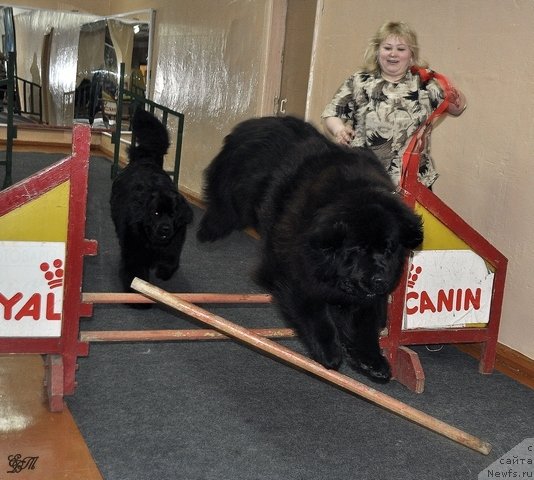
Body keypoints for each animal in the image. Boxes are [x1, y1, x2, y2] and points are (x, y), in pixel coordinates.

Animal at [199, 115, 426, 382]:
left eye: (389, 249)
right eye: (358, 249)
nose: (380, 279)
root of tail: (254, 122)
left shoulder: (367, 298)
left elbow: (365, 326)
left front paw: (371, 360)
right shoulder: (294, 274)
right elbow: (316, 315)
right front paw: (328, 351)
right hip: (233, 192)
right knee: (222, 202)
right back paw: (208, 229)